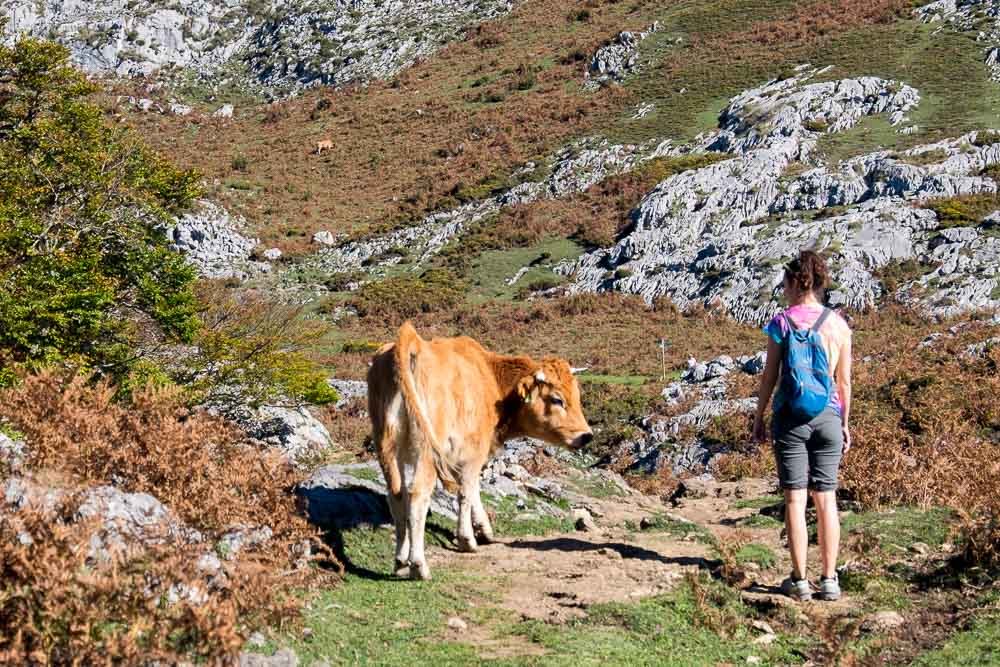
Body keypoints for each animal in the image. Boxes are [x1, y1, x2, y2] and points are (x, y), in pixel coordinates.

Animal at [370, 322, 592, 580]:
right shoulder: (473, 451)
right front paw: (468, 540)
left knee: (396, 495)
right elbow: (467, 492)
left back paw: (400, 561)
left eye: (577, 396)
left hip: (387, 445)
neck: (490, 379)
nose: (587, 435)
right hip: (426, 451)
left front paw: (483, 529)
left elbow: (473, 489)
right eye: (557, 399)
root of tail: (412, 340)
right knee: (417, 496)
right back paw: (418, 566)